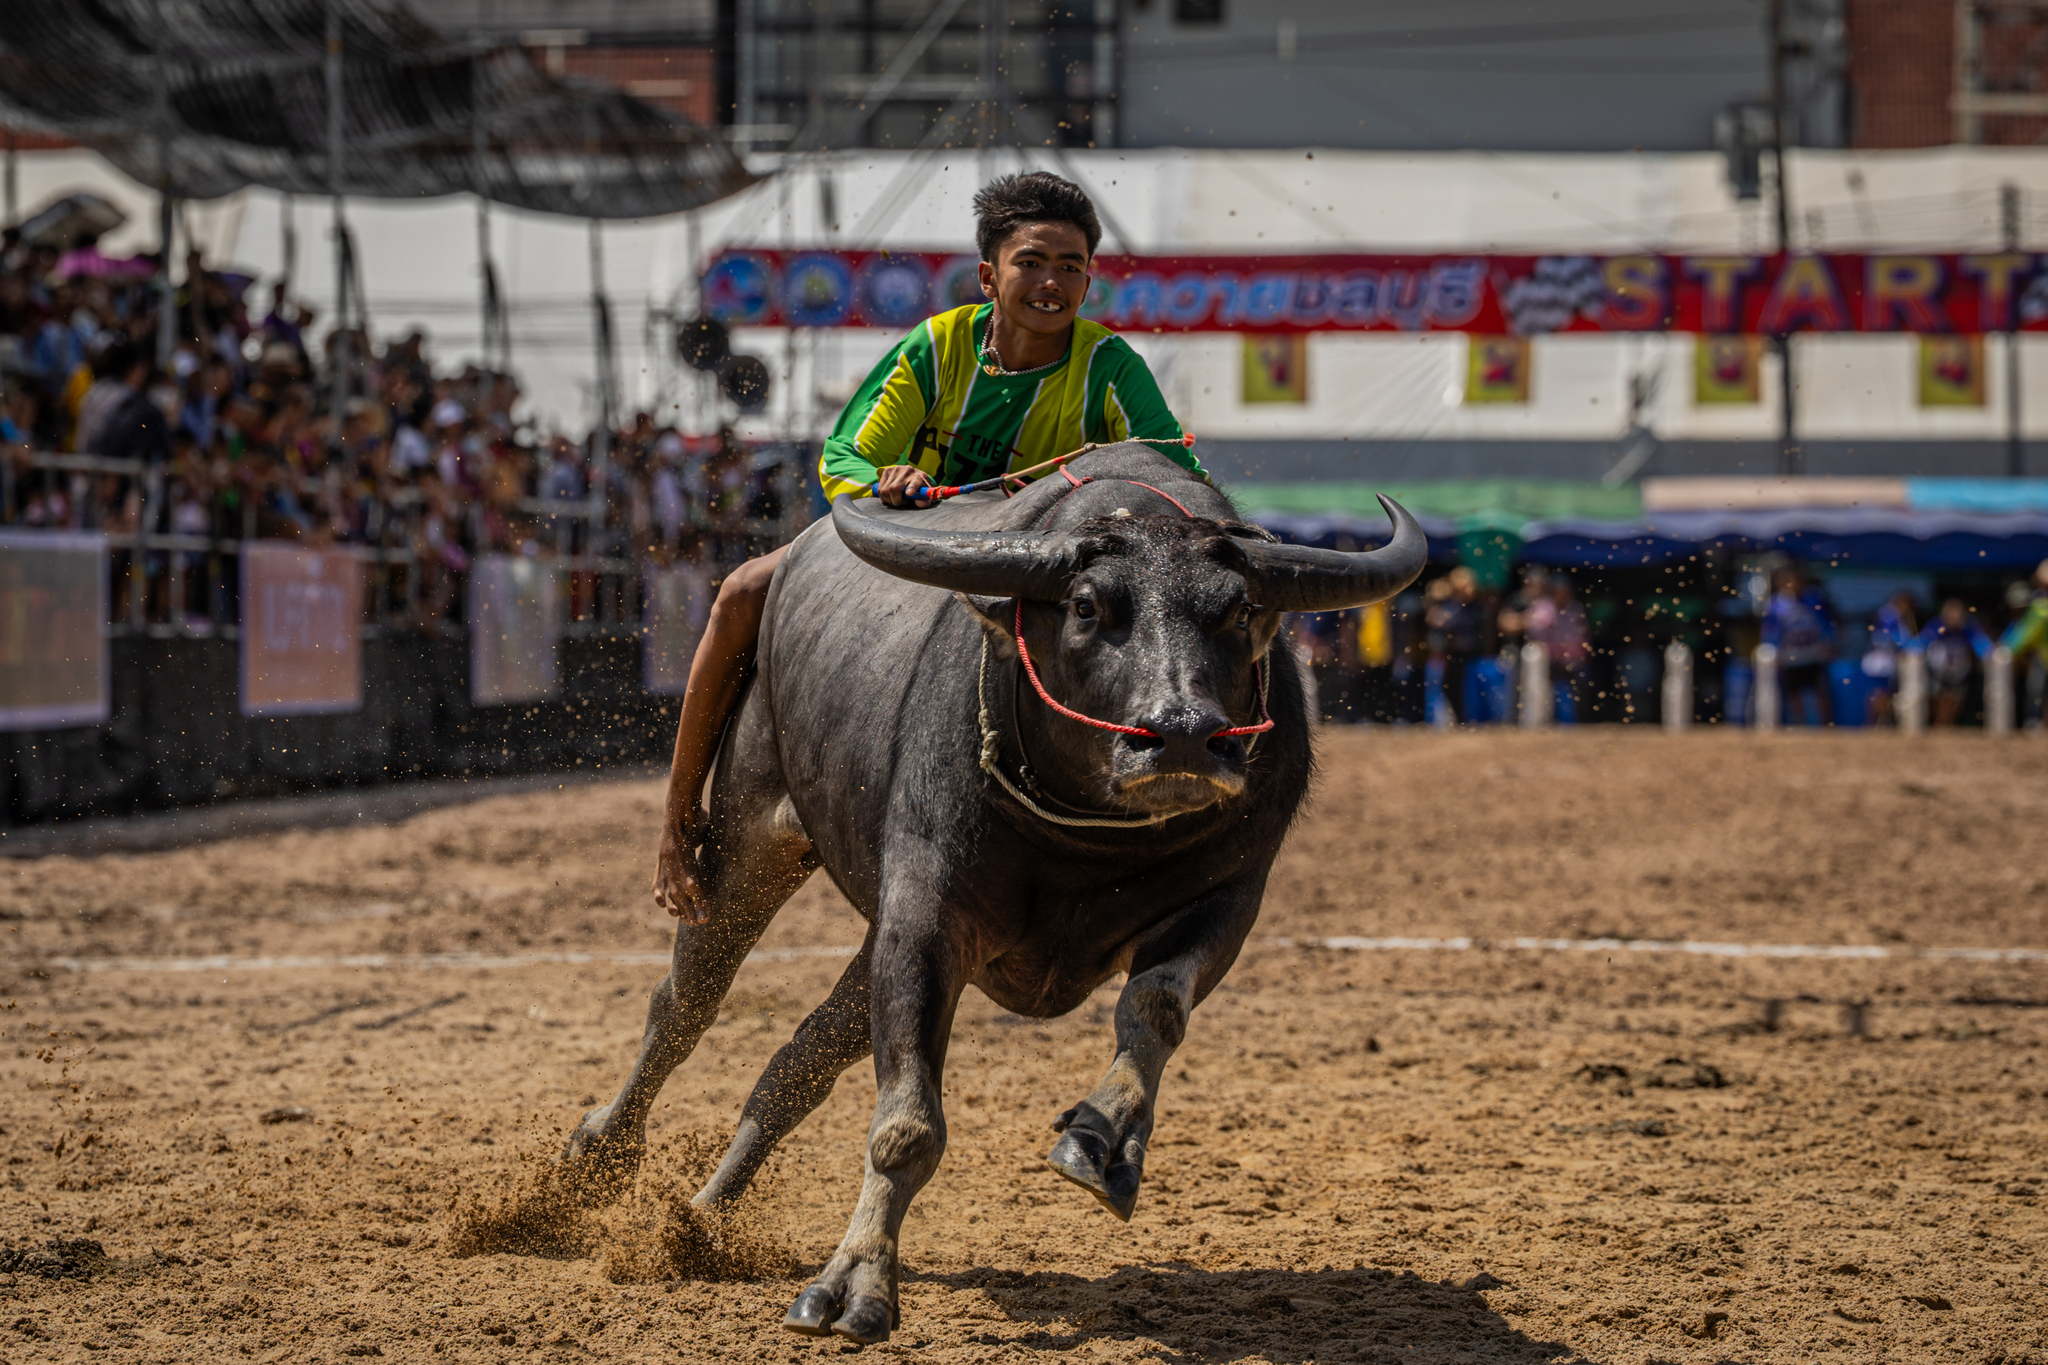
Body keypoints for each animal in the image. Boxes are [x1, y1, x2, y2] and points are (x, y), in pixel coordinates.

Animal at [563, 443, 1423, 1344]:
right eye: (1087, 605)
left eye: (1240, 608)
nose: (1185, 736)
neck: (1088, 833)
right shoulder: (926, 914)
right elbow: (906, 1122)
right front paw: (852, 1281)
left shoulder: (1227, 899)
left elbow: (1154, 1008)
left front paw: (1102, 1140)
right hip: (748, 836)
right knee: (685, 1001)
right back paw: (595, 1158)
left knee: (803, 1053)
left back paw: (700, 1217)